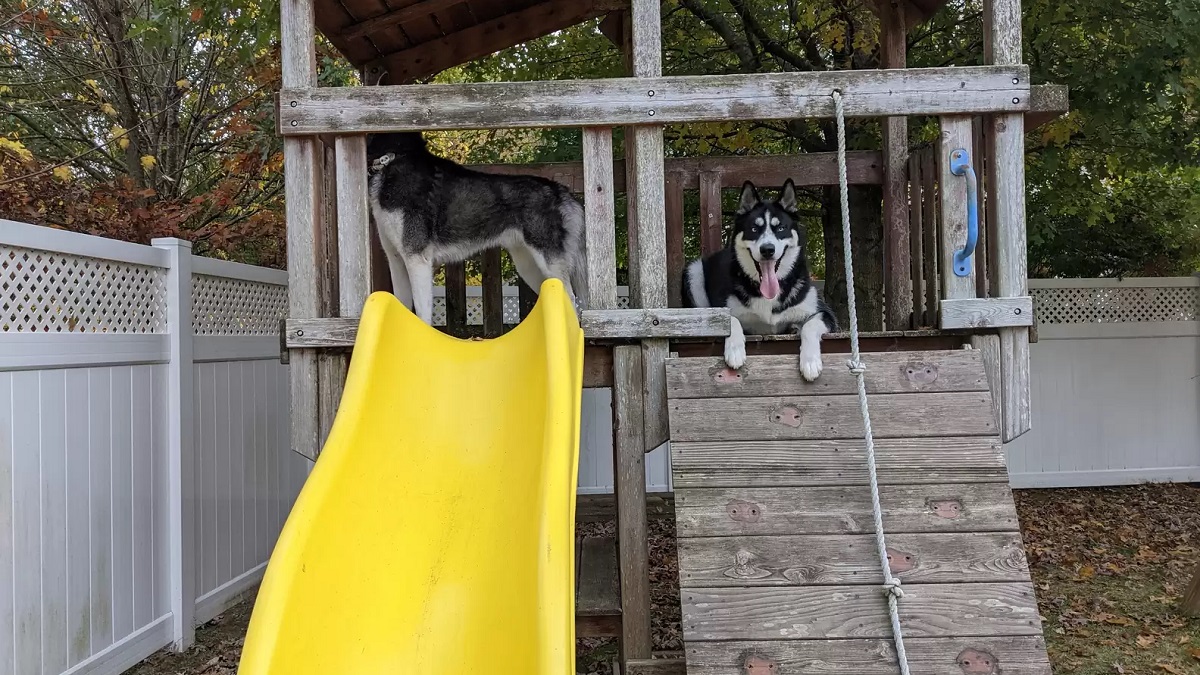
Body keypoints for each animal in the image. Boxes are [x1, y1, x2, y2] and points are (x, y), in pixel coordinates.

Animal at [364, 133, 590, 324]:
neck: (392, 158)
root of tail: (561, 190)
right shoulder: (396, 261)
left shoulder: (417, 259)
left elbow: (422, 314)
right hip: (528, 266)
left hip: (549, 263)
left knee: (570, 299)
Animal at [681, 178, 840, 379]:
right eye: (754, 229)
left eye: (780, 228)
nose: (767, 249)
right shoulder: (723, 309)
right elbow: (731, 319)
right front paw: (735, 350)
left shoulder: (825, 313)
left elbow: (811, 325)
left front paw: (810, 362)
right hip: (693, 271)